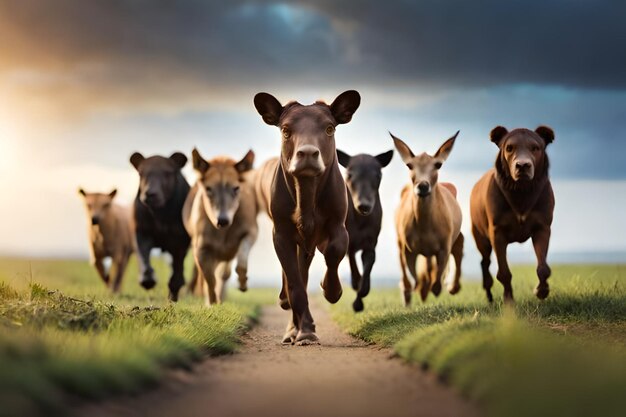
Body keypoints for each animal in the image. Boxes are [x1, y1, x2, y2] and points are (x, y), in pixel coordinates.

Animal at [254, 89, 360, 342]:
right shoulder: (281, 233)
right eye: (285, 130)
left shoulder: (338, 226)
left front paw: (332, 290)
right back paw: (292, 322)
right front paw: (306, 330)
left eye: (329, 128)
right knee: (295, 278)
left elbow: (334, 252)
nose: (308, 153)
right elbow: (294, 283)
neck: (307, 192)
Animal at [470, 125, 552, 300]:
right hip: (479, 234)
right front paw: (508, 300)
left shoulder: (542, 226)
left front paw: (541, 290)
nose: (522, 165)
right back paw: (488, 293)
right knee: (485, 261)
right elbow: (503, 272)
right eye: (509, 148)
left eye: (535, 147)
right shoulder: (497, 231)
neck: (521, 191)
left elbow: (543, 267)